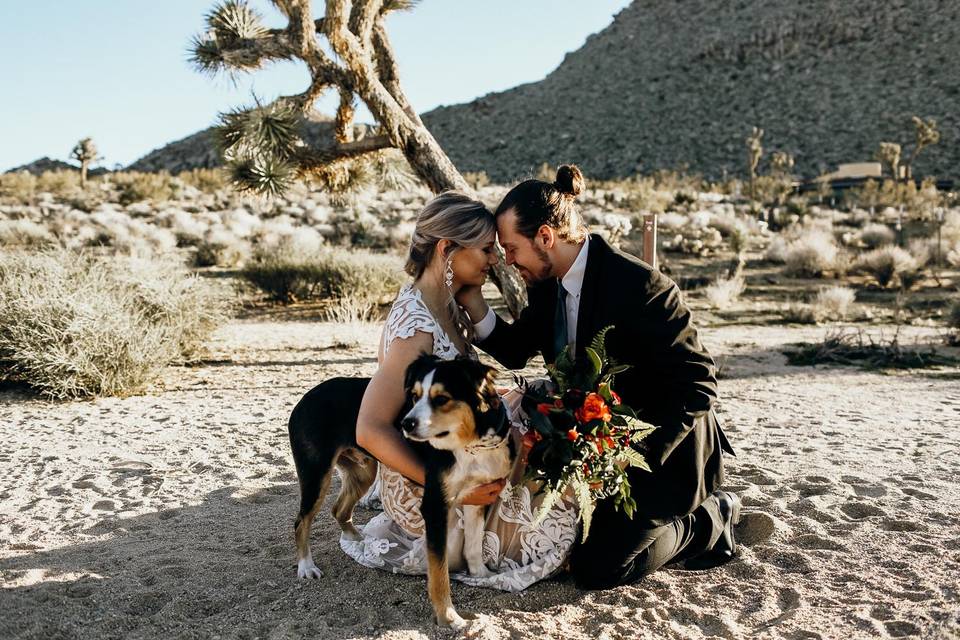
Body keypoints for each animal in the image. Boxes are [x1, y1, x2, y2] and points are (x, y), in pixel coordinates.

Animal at [286, 356, 516, 632]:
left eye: (442, 399)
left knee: (338, 509)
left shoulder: (477, 497)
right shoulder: (435, 506)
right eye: (414, 397)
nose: (406, 424)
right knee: (301, 521)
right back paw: (306, 566)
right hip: (316, 474)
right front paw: (448, 617)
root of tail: (305, 397)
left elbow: (472, 545)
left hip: (363, 472)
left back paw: (357, 538)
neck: (472, 445)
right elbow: (439, 573)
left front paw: (480, 575)